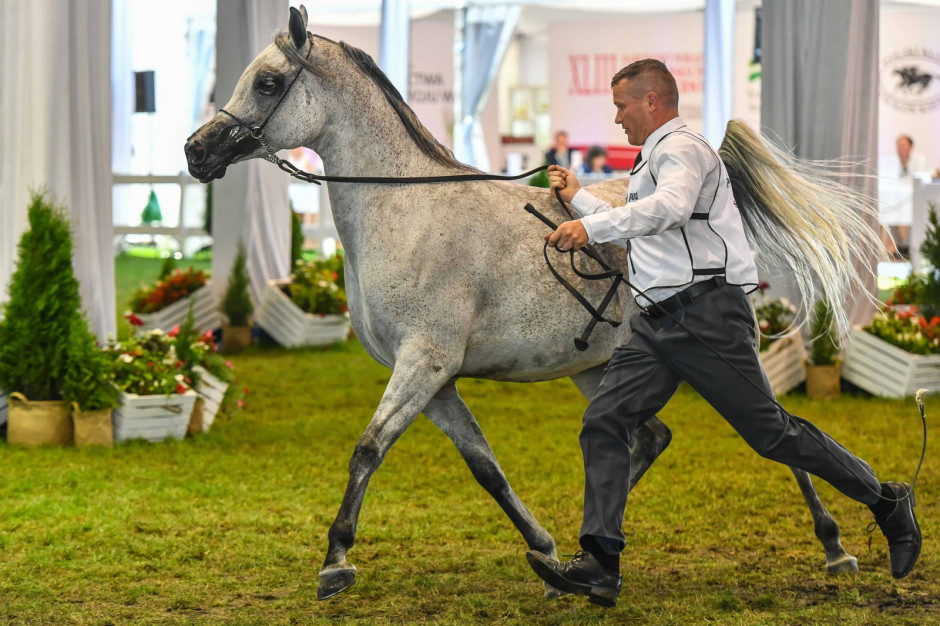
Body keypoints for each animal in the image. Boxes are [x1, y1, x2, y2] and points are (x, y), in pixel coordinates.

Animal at [185, 4, 888, 600]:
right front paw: (544, 549)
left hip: (718, 363)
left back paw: (836, 547)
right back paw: (586, 554)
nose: (196, 152)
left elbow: (368, 449)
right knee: (650, 438)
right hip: (598, 369)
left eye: (268, 82)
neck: (404, 211)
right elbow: (485, 468)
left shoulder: (424, 363)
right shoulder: (434, 381)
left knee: (780, 434)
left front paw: (335, 562)